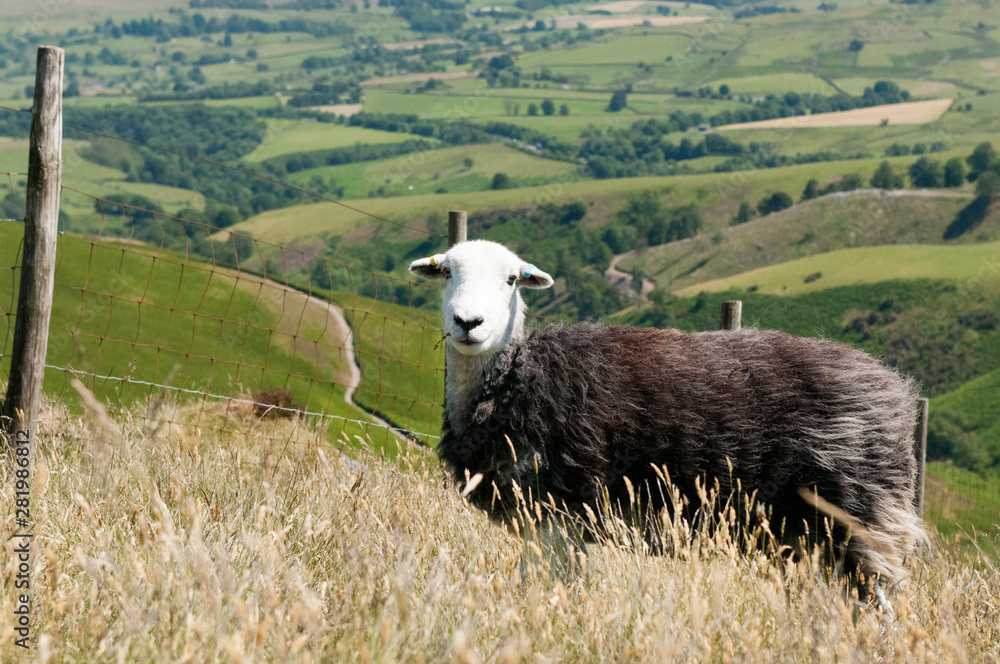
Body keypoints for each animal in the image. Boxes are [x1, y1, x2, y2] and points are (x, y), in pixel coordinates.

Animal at [410, 239, 924, 599]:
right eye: (447, 272)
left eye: (512, 280)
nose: (468, 323)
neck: (518, 376)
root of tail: (893, 390)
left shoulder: (556, 513)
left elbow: (540, 584)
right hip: (808, 535)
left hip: (856, 519)